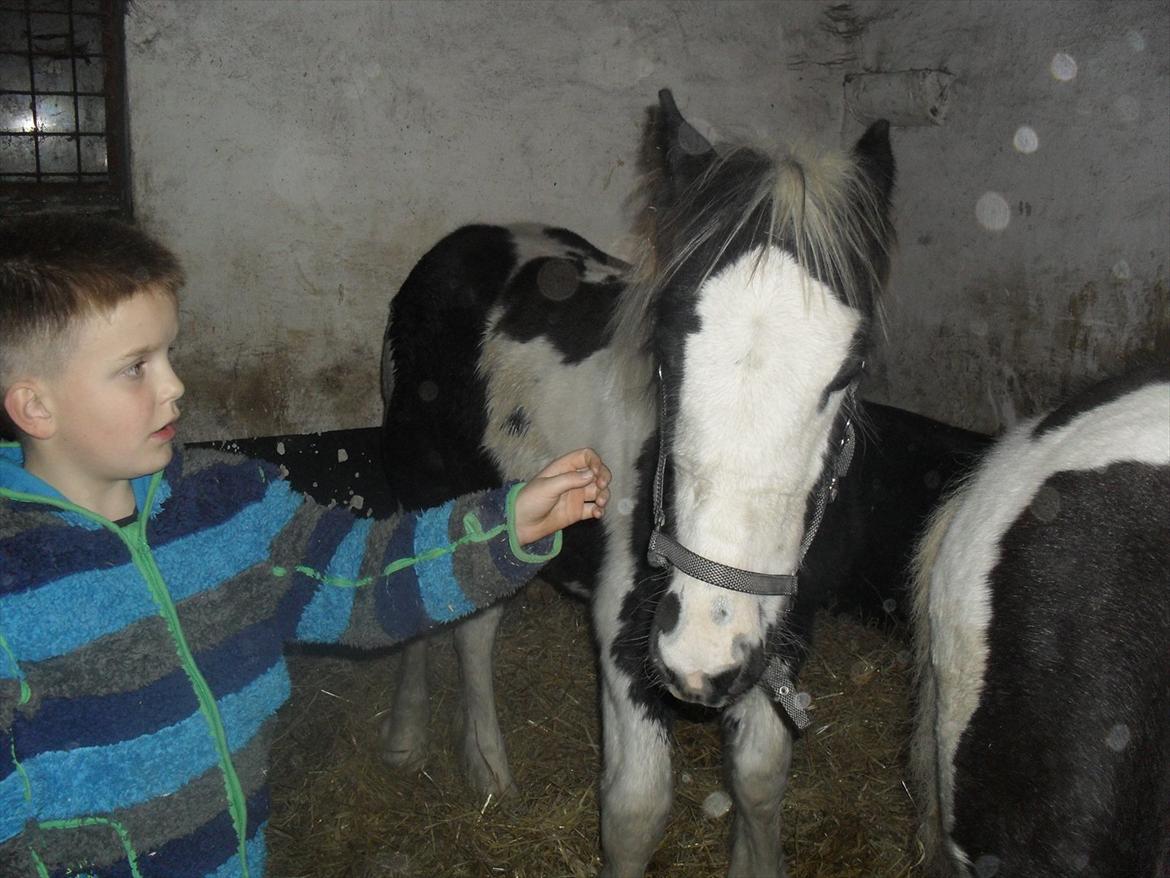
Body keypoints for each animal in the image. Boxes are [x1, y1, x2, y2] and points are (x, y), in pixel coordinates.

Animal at [379, 93, 889, 875]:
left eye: (851, 368)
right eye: (667, 348)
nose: (706, 648)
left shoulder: (790, 625)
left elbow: (761, 777)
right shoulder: (625, 619)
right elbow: (636, 809)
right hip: (425, 481)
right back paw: (435, 750)